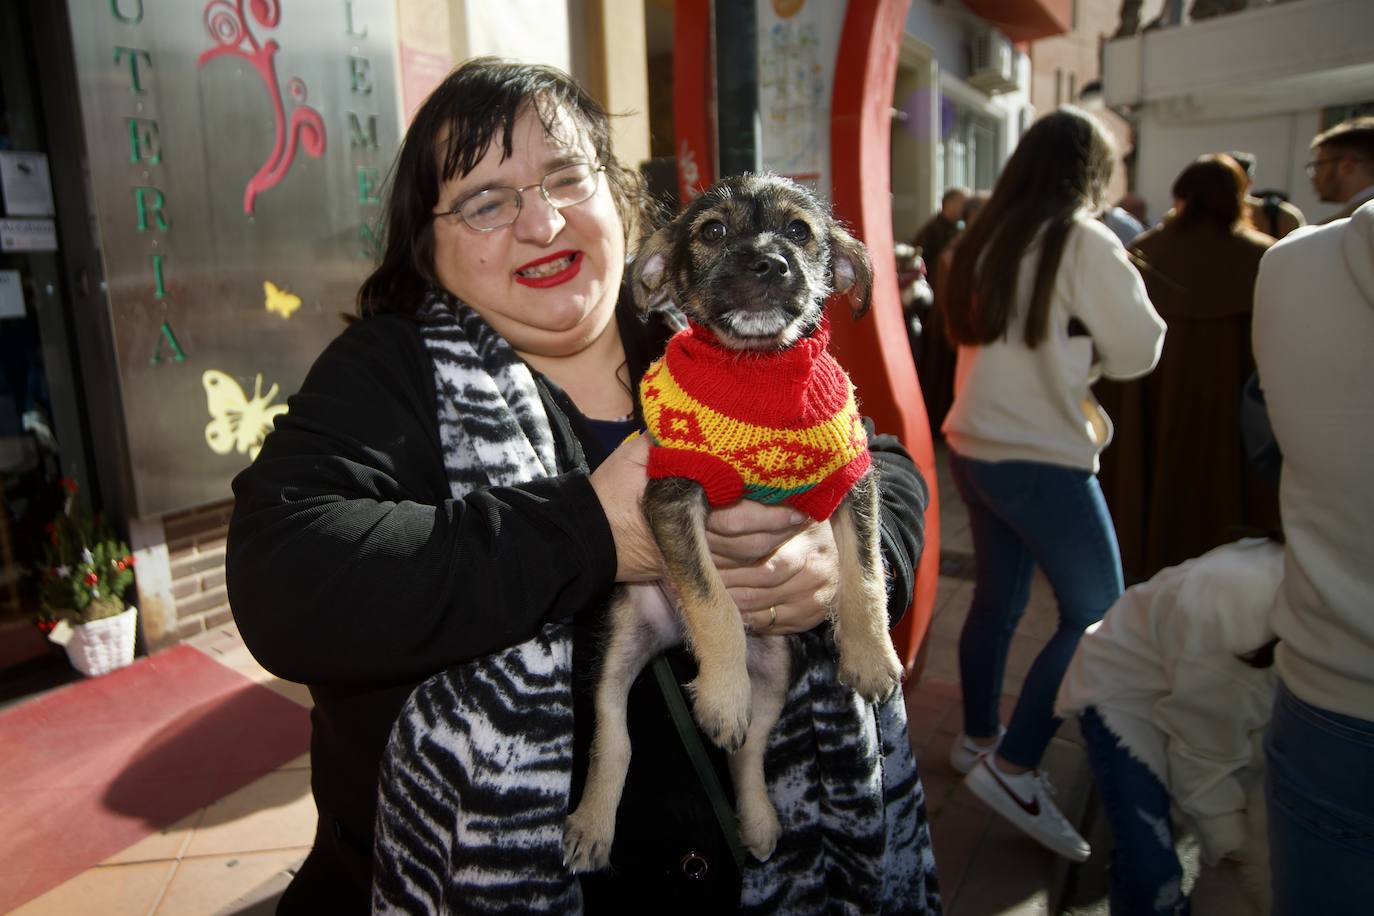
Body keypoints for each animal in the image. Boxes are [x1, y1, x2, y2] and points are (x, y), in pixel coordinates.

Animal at [563, 173, 906, 873]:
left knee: (750, 750)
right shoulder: (674, 498)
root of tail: (674, 643)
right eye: (713, 231)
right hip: (618, 645)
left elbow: (863, 577)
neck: (758, 374)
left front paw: (871, 658)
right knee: (615, 733)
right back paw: (592, 824)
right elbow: (713, 601)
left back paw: (760, 821)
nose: (769, 263)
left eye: (800, 231)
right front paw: (720, 695)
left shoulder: (852, 480)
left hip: (776, 670)